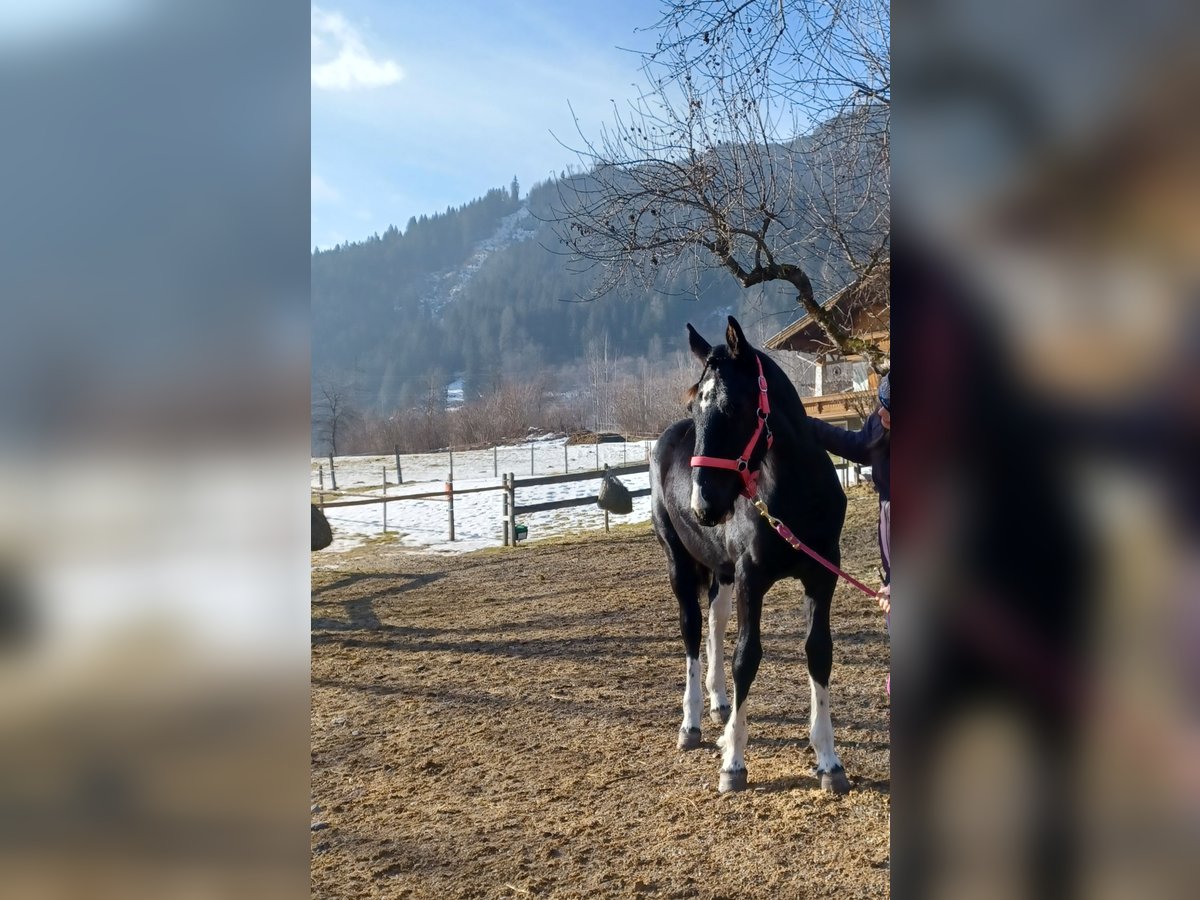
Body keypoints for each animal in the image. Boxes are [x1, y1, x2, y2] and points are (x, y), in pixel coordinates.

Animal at [652, 319, 849, 796]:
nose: (704, 505)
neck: (793, 496)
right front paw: (733, 764)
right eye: (697, 405)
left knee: (714, 624)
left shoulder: (821, 577)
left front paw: (829, 761)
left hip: (721, 573)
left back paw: (719, 703)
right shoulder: (751, 579)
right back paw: (691, 724)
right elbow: (747, 657)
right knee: (691, 630)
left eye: (734, 405)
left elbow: (819, 651)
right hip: (679, 564)